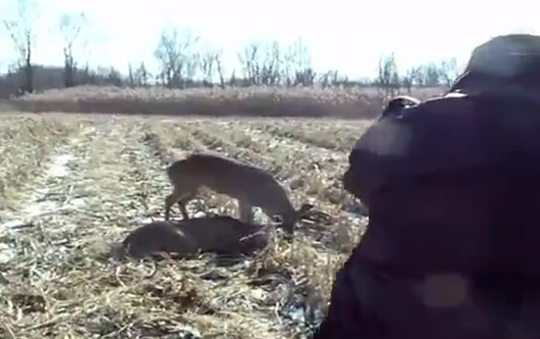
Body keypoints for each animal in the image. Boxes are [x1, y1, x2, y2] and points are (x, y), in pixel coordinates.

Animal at [165, 153, 312, 236]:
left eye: (297, 222)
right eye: (287, 222)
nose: (290, 236)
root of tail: (169, 169)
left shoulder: (248, 202)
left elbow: (248, 217)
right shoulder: (244, 199)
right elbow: (245, 218)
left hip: (193, 188)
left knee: (179, 201)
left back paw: (185, 219)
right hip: (186, 185)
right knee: (170, 199)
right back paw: (168, 219)